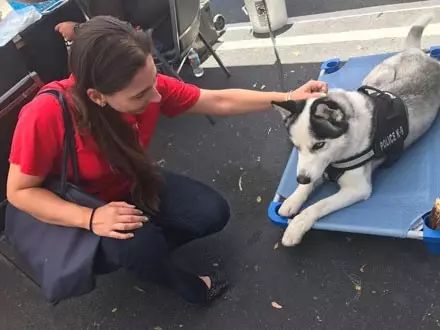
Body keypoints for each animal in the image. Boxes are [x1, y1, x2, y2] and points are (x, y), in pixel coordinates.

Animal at [272, 16, 440, 248]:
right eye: (296, 147)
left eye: (319, 144)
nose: (301, 179)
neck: (340, 152)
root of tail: (417, 52)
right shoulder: (316, 168)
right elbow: (309, 186)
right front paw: (293, 199)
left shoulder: (357, 189)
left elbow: (319, 205)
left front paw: (297, 225)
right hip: (376, 77)